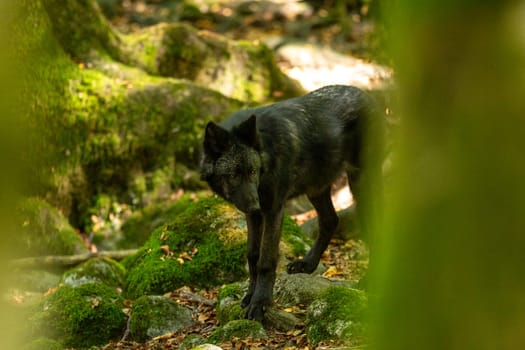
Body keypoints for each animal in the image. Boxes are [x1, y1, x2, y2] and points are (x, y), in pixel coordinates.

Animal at [199, 85, 382, 322]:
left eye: (252, 171)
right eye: (233, 175)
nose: (255, 205)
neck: (266, 151)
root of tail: (370, 97)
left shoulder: (273, 209)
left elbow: (266, 259)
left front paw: (261, 303)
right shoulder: (253, 215)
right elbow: (252, 255)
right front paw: (249, 295)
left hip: (360, 186)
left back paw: (370, 280)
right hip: (316, 188)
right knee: (331, 220)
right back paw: (308, 264)